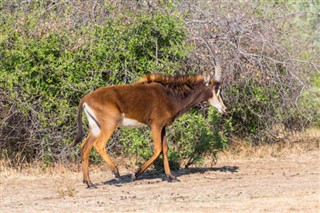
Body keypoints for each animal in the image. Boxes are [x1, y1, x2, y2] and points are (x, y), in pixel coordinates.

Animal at [70, 60, 226, 188]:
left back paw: (89, 183)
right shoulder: (155, 125)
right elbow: (157, 149)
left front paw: (171, 176)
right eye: (216, 89)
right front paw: (135, 174)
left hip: (95, 127)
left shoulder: (163, 127)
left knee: (85, 147)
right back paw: (116, 173)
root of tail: (85, 99)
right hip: (110, 124)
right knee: (99, 145)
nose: (224, 109)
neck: (171, 95)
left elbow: (165, 149)